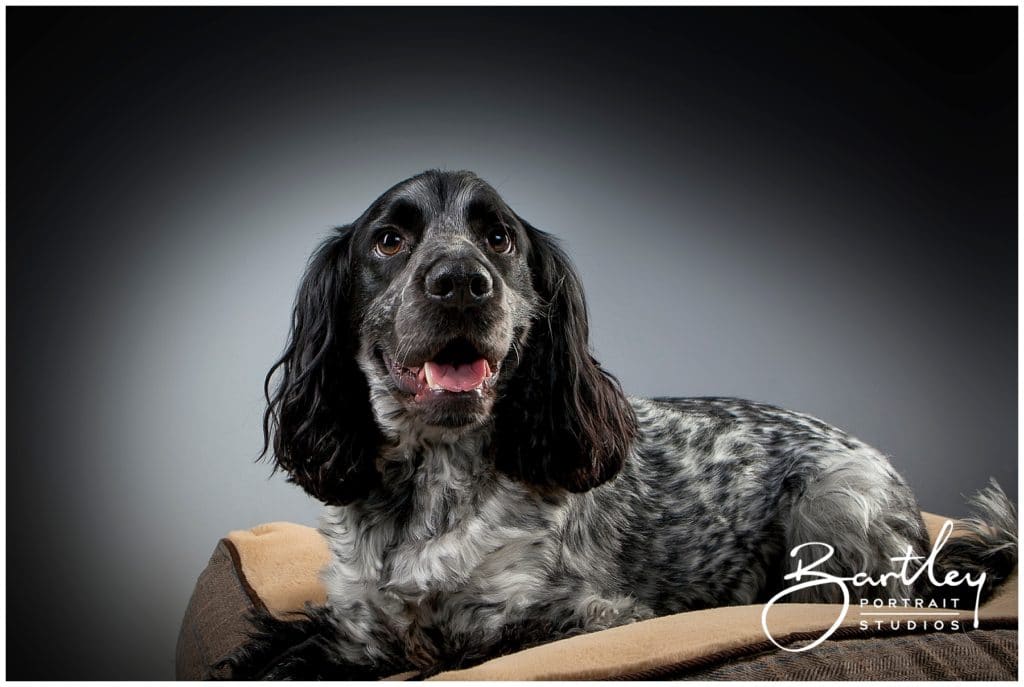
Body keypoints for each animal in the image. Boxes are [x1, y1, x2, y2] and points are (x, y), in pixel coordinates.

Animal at [222, 168, 1015, 679]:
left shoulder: (573, 619)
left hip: (836, 502)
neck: (430, 486)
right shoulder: (357, 620)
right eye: (388, 240)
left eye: (500, 240)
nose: (461, 283)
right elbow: (280, 648)